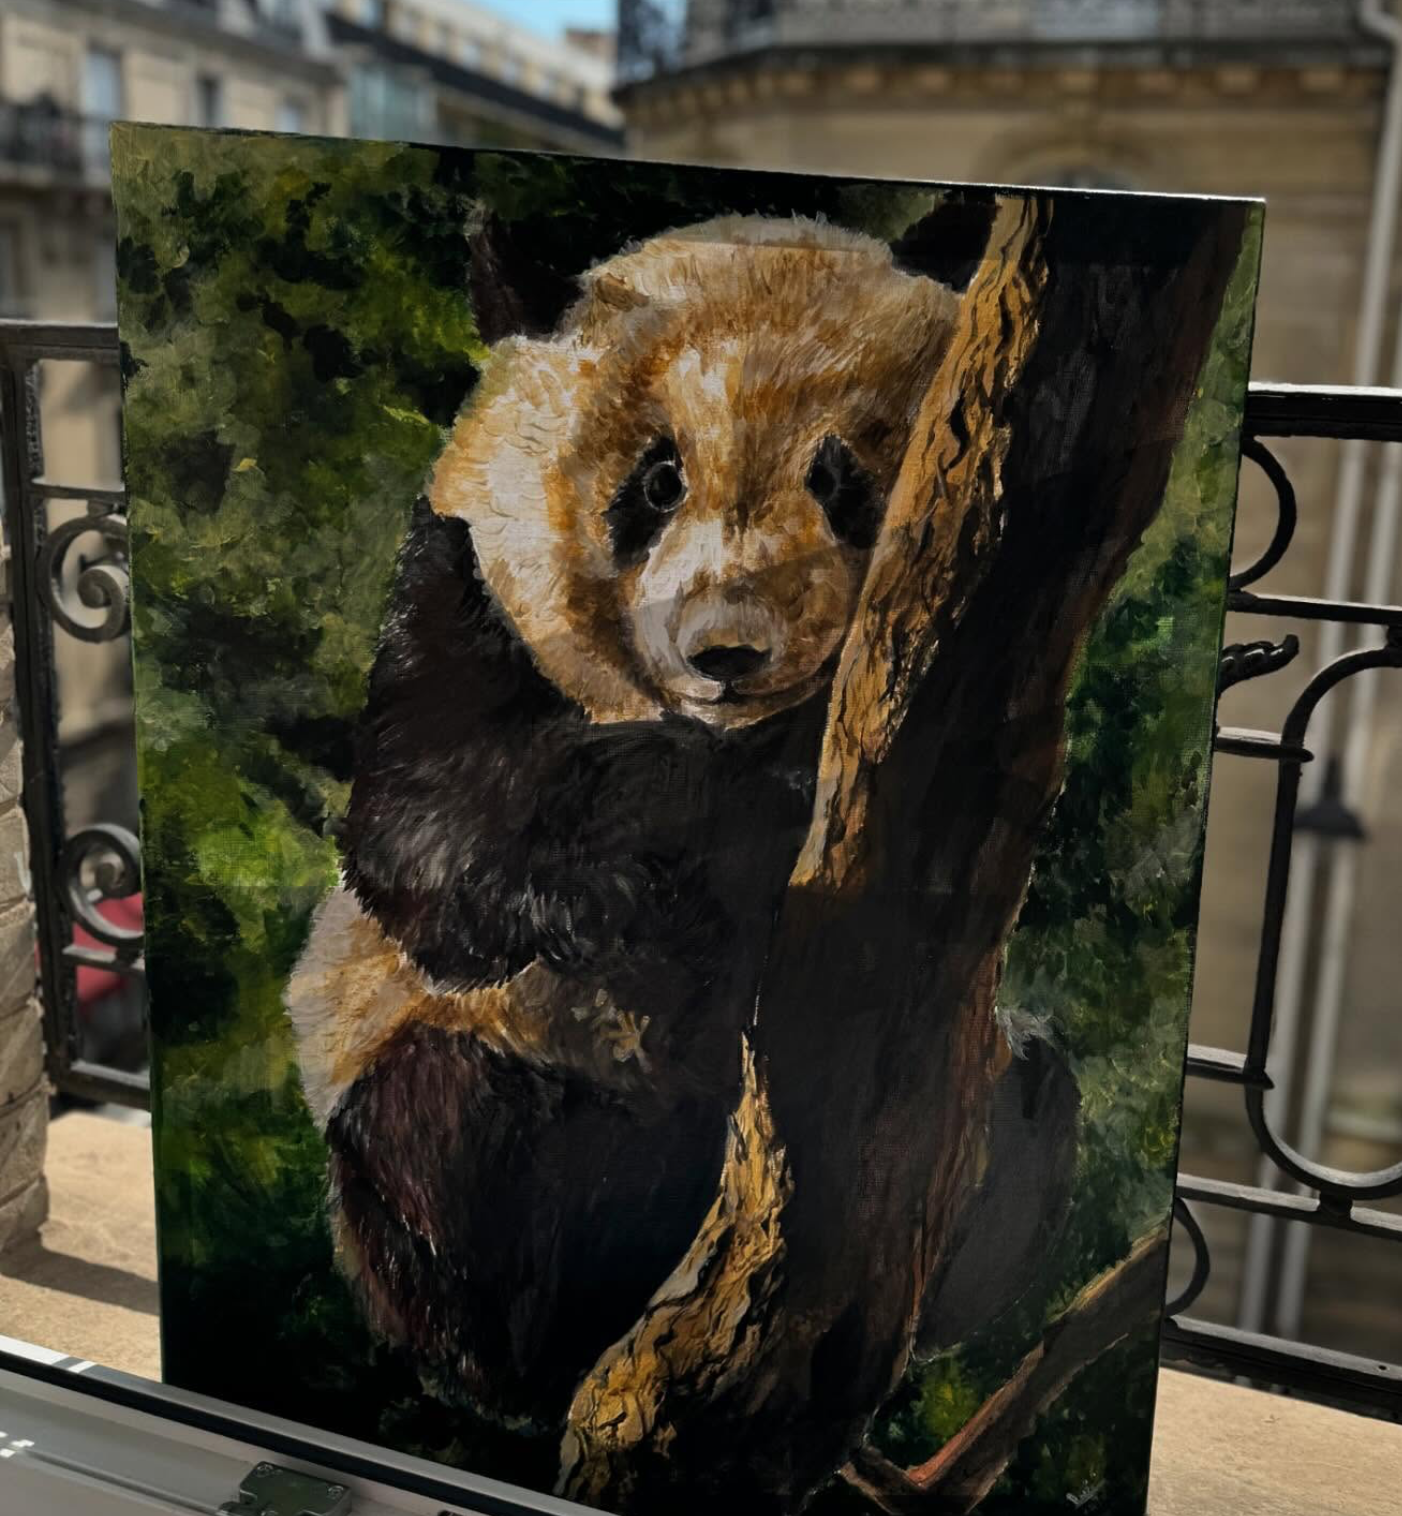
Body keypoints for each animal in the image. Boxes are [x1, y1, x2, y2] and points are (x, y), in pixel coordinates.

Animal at [285, 214, 1077, 1437]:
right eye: (656, 482)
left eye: (840, 479)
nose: (728, 649)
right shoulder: (460, 585)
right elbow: (427, 830)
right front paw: (664, 836)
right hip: (452, 1099)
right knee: (449, 1128)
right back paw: (538, 1336)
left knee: (1032, 1096)